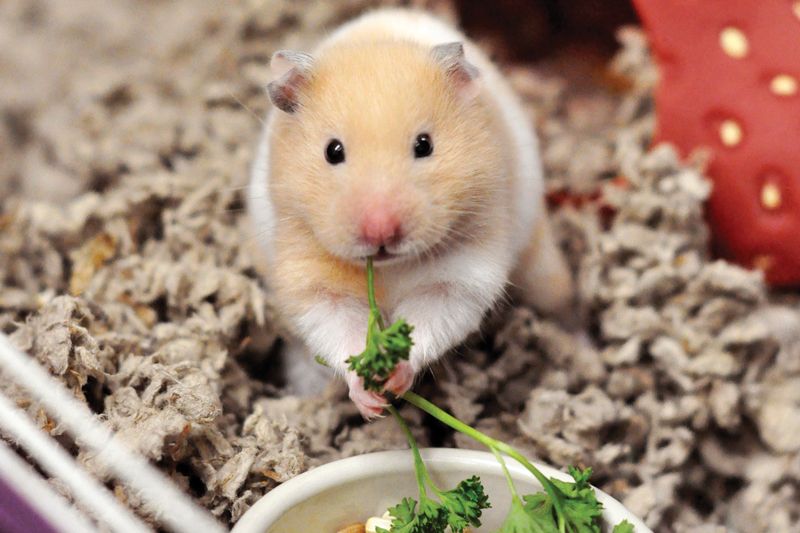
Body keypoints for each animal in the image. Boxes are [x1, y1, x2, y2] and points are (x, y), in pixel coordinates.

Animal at [247, 7, 572, 416]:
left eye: (424, 145)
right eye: (333, 151)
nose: (381, 232)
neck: (388, 271)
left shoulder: (461, 276)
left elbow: (429, 321)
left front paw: (394, 380)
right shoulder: (311, 279)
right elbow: (339, 330)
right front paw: (370, 402)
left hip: (542, 267)